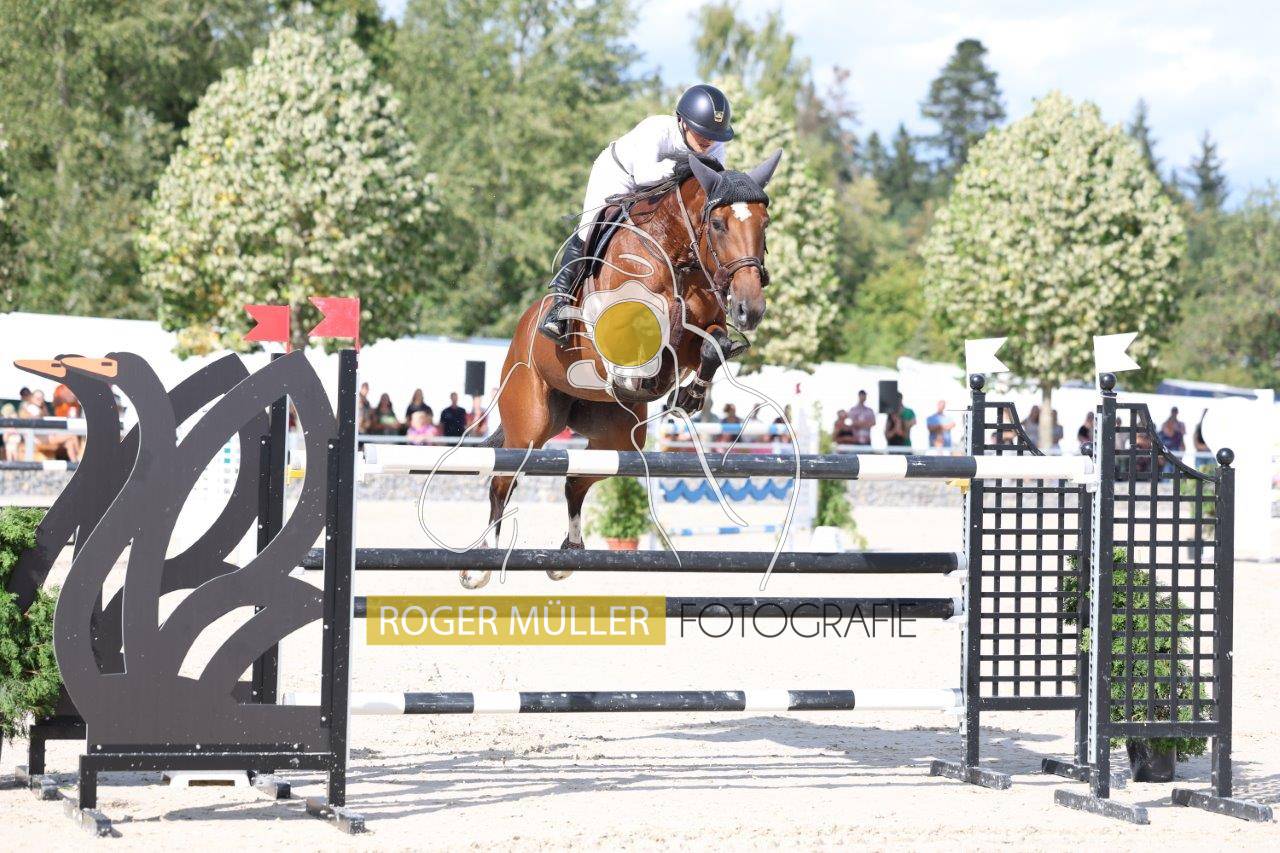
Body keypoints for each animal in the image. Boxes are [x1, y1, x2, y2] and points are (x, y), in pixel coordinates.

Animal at [459, 150, 782, 589]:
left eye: (764, 224)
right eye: (718, 224)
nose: (750, 309)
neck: (677, 258)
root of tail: (521, 330)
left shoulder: (703, 331)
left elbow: (712, 346)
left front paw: (689, 394)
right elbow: (649, 333)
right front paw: (641, 373)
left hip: (616, 439)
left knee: (576, 479)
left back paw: (567, 554)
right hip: (528, 423)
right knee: (501, 481)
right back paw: (479, 567)